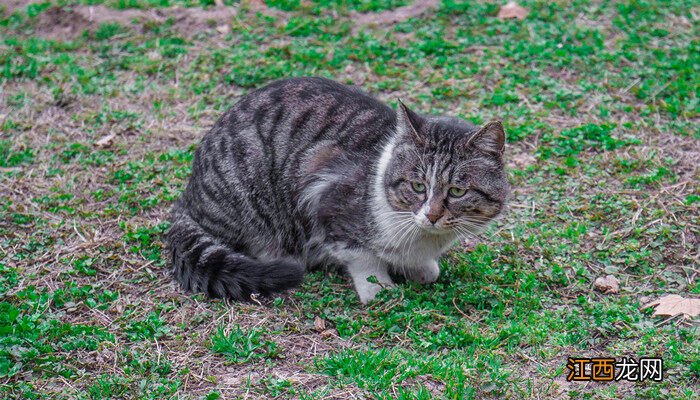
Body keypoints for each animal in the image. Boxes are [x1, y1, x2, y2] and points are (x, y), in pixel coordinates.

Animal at [170, 76, 508, 304]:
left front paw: (419, 269)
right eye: (417, 186)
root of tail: (189, 198)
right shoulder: (324, 193)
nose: (433, 215)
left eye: (457, 192)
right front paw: (379, 288)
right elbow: (361, 257)